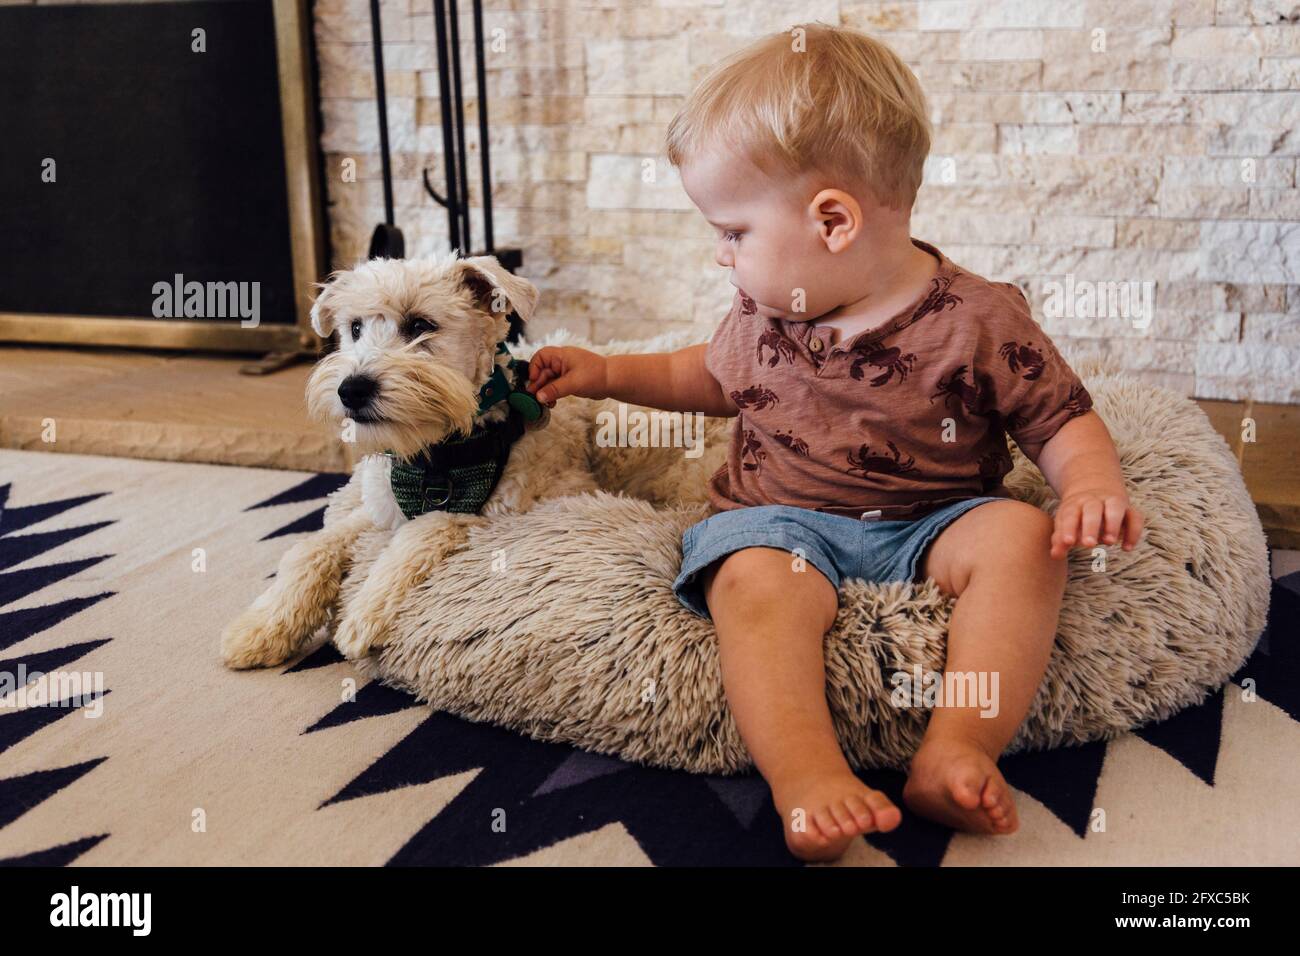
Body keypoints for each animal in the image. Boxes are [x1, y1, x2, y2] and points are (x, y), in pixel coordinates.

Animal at [222, 254, 598, 671]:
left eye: (420, 325)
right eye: (354, 328)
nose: (350, 390)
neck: (434, 452)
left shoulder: (495, 512)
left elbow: (423, 529)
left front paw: (363, 615)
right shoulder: (378, 511)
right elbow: (312, 547)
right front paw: (262, 626)